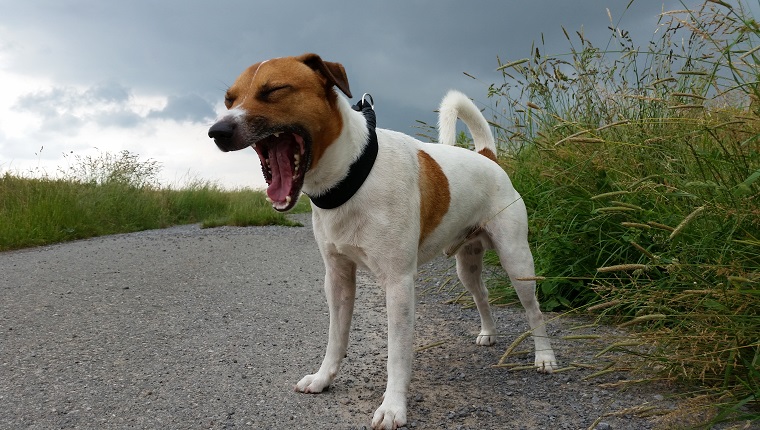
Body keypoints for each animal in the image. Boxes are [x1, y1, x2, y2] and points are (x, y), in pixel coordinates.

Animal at [209, 52, 560, 428]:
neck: (351, 176)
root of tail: (487, 157)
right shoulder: (337, 277)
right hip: (466, 264)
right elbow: (335, 338)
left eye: (274, 89)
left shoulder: (398, 283)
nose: (217, 132)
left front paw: (393, 407)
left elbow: (397, 355)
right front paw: (323, 379)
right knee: (482, 295)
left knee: (534, 310)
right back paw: (489, 333)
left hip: (517, 260)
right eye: (229, 99)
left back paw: (544, 357)